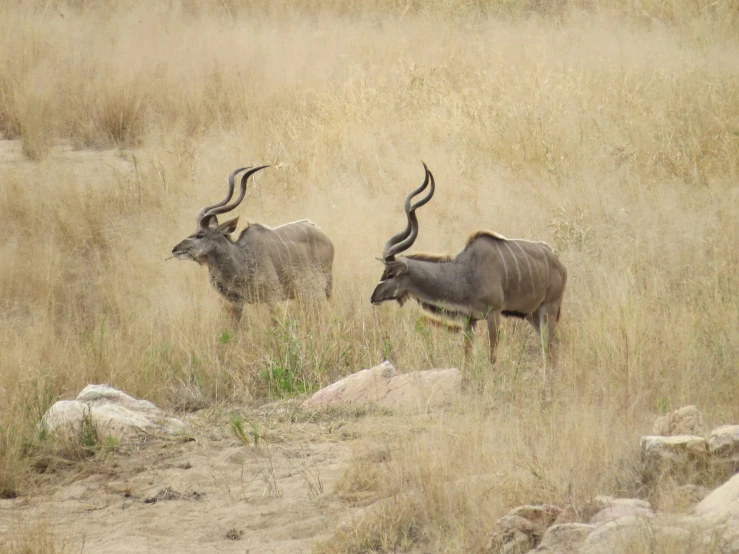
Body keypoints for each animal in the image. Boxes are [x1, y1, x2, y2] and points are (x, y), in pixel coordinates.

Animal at [172, 165, 334, 320]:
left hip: (321, 286)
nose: (175, 249)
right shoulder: (236, 303)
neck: (242, 259)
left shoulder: (273, 296)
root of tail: (324, 236)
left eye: (200, 235)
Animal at [372, 162, 568, 378]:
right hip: (532, 314)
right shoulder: (469, 319)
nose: (373, 297)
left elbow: (492, 356)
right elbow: (467, 355)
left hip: (549, 308)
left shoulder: (494, 313)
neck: (464, 273)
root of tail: (559, 263)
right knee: (548, 346)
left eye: (390, 274)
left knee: (550, 347)